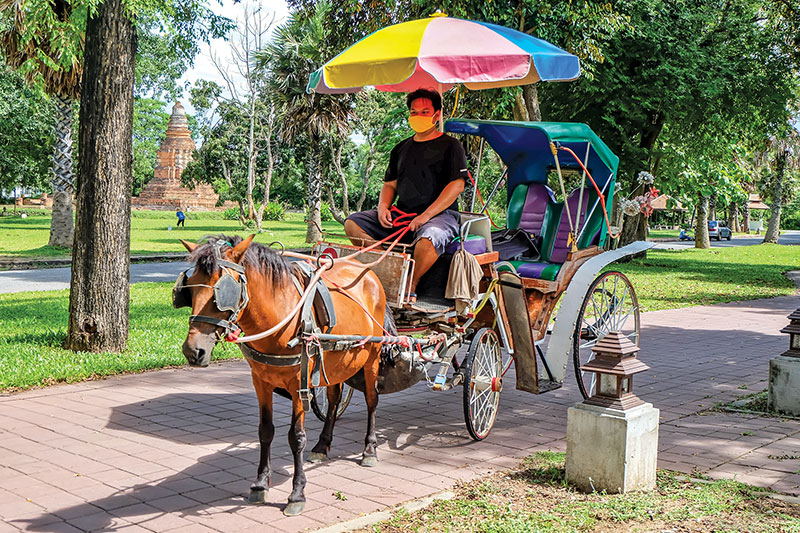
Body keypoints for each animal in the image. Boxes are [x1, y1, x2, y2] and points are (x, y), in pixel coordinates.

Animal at [177, 234, 390, 516]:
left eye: (221, 292)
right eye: (188, 288)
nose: (193, 351)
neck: (280, 318)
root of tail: (368, 272)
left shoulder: (299, 383)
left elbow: (296, 437)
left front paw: (297, 494)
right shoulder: (260, 381)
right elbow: (265, 431)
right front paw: (260, 484)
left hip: (372, 357)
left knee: (371, 400)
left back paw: (369, 450)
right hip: (335, 362)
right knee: (334, 399)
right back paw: (323, 445)